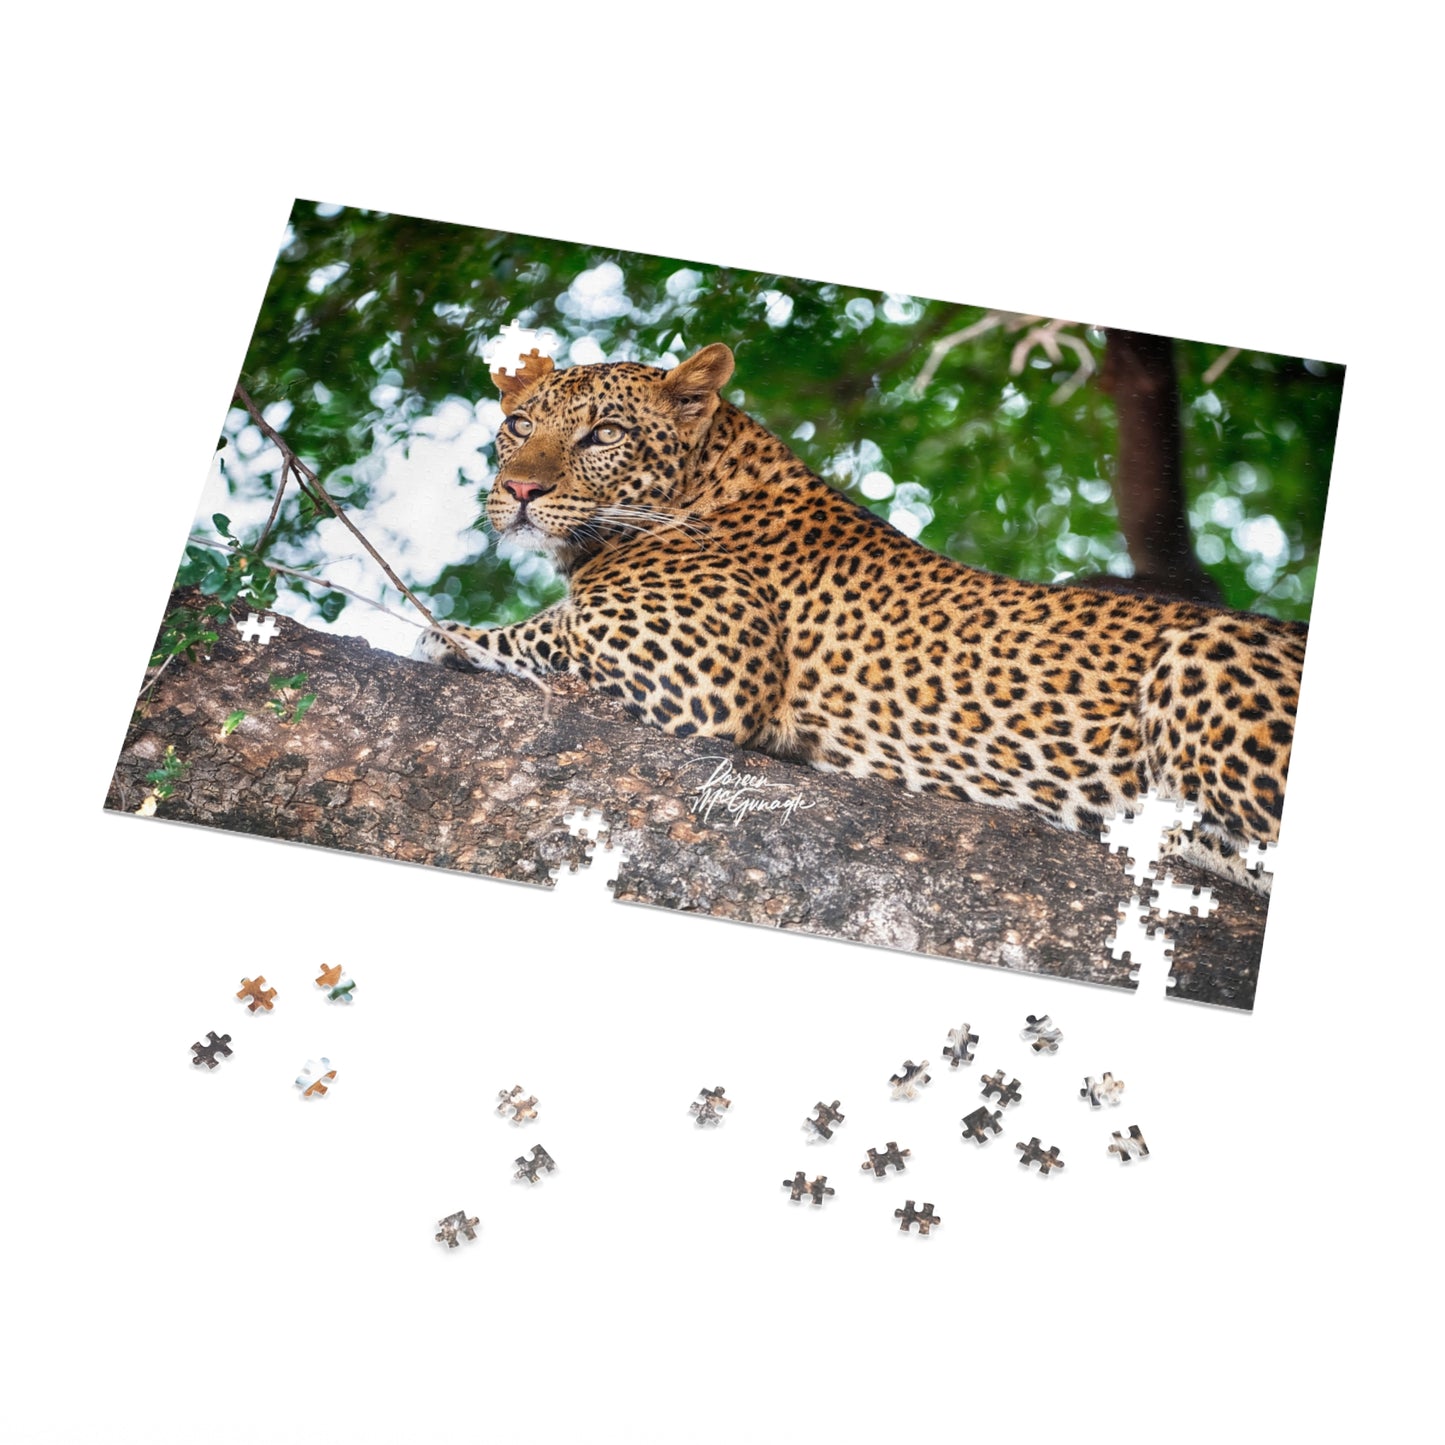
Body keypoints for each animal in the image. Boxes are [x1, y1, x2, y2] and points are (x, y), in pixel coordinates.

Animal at [414, 343, 1306, 893]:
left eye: (602, 433)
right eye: (518, 425)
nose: (519, 490)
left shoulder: (698, 666)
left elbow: (542, 627)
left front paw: (444, 635)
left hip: (1202, 652)